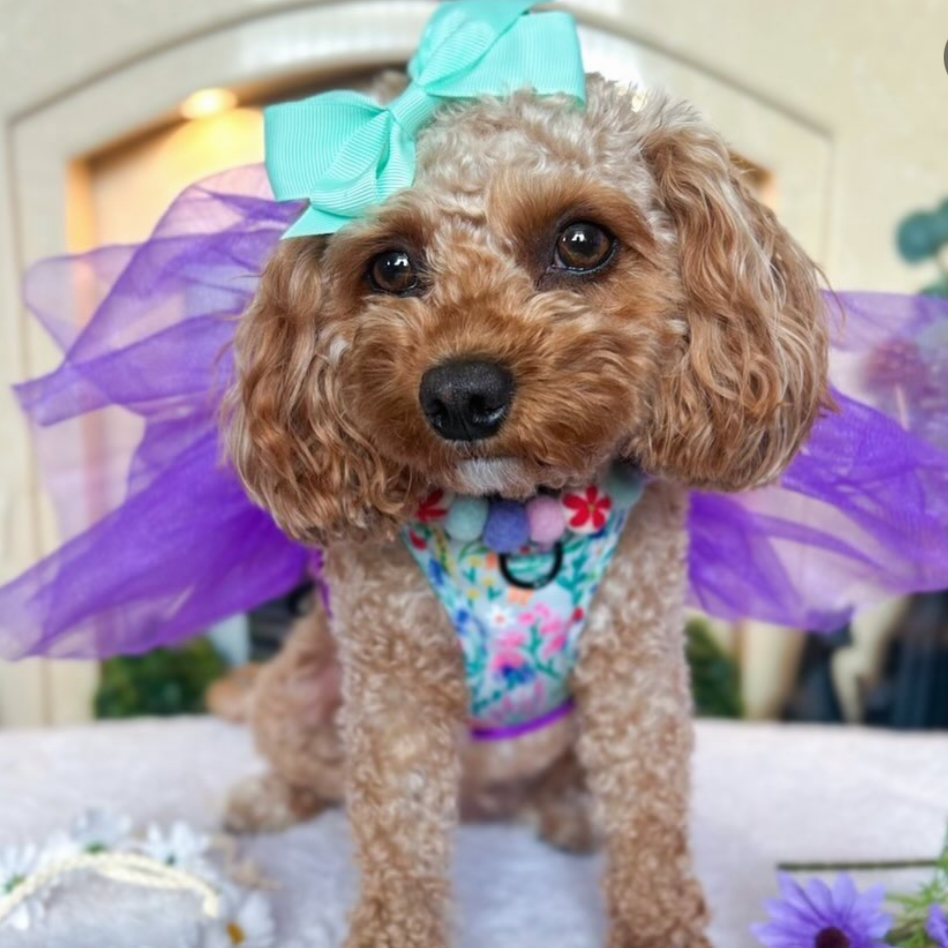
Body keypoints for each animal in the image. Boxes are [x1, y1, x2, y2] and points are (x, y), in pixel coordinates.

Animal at [222, 72, 828, 948]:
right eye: (391, 265)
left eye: (581, 242)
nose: (460, 394)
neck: (515, 512)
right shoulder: (394, 694)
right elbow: (396, 846)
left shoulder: (637, 675)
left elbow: (650, 832)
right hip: (299, 692)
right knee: (310, 772)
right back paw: (263, 802)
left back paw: (566, 816)